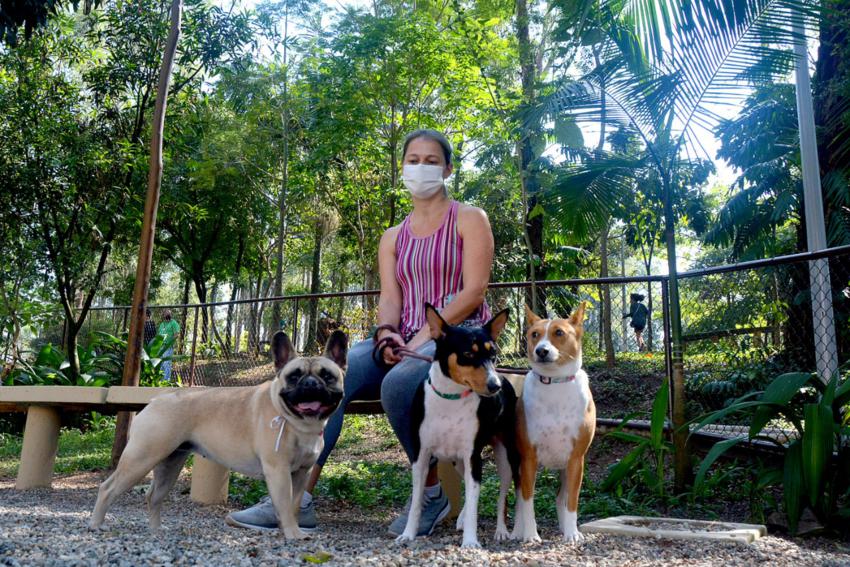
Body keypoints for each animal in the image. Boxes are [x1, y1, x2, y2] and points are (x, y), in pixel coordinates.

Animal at [91, 330, 346, 540]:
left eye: (328, 376)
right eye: (294, 376)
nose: (311, 383)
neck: (298, 423)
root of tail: (156, 399)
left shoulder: (301, 474)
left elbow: (293, 505)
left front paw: (290, 529)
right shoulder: (279, 471)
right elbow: (284, 505)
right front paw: (293, 534)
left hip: (169, 464)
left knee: (154, 496)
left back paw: (155, 530)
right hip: (141, 459)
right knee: (108, 488)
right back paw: (96, 525)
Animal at [506, 304, 592, 544]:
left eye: (559, 333)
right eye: (534, 334)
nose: (541, 351)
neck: (554, 384)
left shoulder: (576, 460)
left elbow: (571, 501)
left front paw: (572, 533)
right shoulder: (529, 459)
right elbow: (527, 502)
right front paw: (530, 534)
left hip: (565, 468)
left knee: (561, 498)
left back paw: (565, 528)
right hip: (515, 463)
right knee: (519, 498)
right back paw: (517, 531)